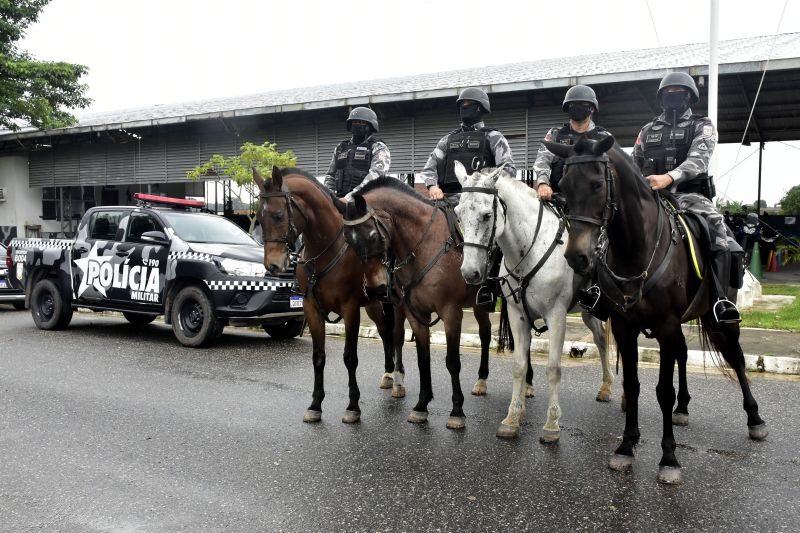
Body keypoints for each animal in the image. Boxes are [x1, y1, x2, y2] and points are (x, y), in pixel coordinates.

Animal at [253, 166, 404, 424]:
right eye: (259, 219)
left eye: (278, 215)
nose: (272, 266)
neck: (325, 251)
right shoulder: (312, 308)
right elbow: (318, 356)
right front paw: (315, 404)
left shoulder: (350, 309)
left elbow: (350, 358)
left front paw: (353, 406)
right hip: (373, 303)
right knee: (385, 331)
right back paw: (387, 373)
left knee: (397, 335)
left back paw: (398, 381)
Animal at [342, 179, 496, 428]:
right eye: (348, 240)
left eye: (373, 235)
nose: (375, 288)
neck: (424, 246)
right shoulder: (415, 313)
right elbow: (422, 358)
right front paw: (421, 405)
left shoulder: (451, 312)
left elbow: (453, 361)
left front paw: (457, 410)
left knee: (486, 334)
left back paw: (492, 382)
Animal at [454, 161, 616, 440]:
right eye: (458, 213)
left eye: (486, 215)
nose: (470, 272)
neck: (530, 250)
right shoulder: (517, 315)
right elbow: (519, 365)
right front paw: (512, 418)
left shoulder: (557, 315)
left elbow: (553, 368)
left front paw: (552, 424)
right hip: (587, 310)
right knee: (600, 338)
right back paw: (605, 387)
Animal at [548, 135, 764, 484]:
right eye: (564, 185)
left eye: (597, 184)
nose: (576, 257)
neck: (637, 250)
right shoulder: (626, 328)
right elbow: (632, 385)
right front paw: (626, 445)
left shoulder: (665, 326)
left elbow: (663, 390)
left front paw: (669, 457)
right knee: (684, 356)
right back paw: (683, 409)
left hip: (720, 320)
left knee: (737, 359)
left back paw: (755, 419)